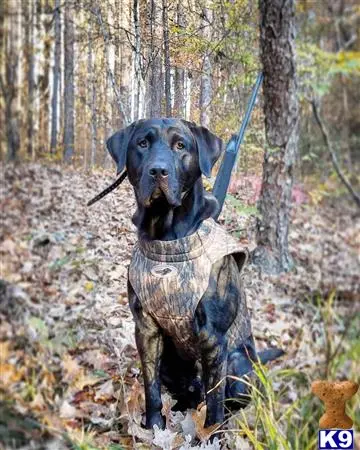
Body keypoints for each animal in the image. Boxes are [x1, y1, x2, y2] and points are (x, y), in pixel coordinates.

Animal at [107, 118, 284, 432]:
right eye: (142, 143)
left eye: (181, 145)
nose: (158, 171)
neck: (167, 238)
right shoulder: (146, 329)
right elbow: (151, 388)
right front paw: (154, 426)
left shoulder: (213, 338)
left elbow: (214, 402)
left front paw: (212, 434)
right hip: (170, 361)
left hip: (236, 361)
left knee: (226, 398)